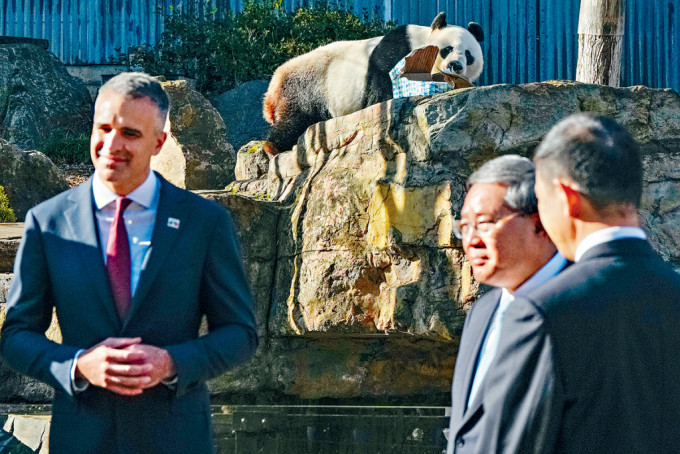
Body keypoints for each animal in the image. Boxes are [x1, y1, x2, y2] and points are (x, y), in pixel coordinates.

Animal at [260, 12, 484, 154]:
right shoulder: (399, 48)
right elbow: (382, 82)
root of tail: (274, 84)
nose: (456, 65)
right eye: (447, 49)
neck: (421, 42)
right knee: (295, 117)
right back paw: (274, 146)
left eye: (468, 55)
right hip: (307, 84)